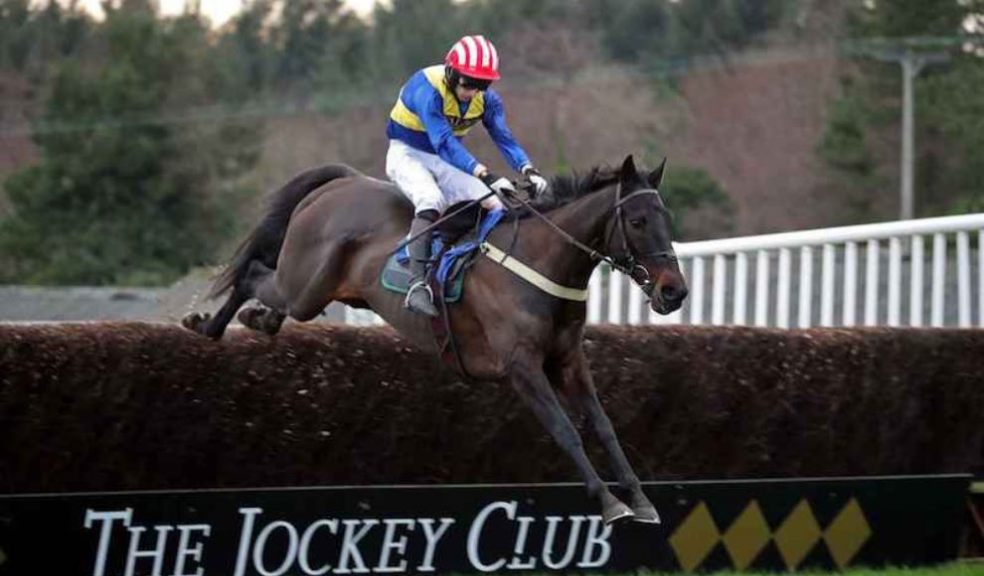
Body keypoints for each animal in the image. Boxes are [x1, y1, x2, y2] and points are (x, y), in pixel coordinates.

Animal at [183, 154, 688, 524]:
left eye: (666, 217)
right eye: (638, 221)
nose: (674, 291)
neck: (540, 260)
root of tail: (340, 183)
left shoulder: (567, 360)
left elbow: (603, 426)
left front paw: (641, 499)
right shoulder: (522, 366)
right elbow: (566, 431)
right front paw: (610, 503)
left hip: (320, 292)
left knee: (269, 300)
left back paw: (254, 320)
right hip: (303, 285)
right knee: (253, 273)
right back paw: (206, 325)